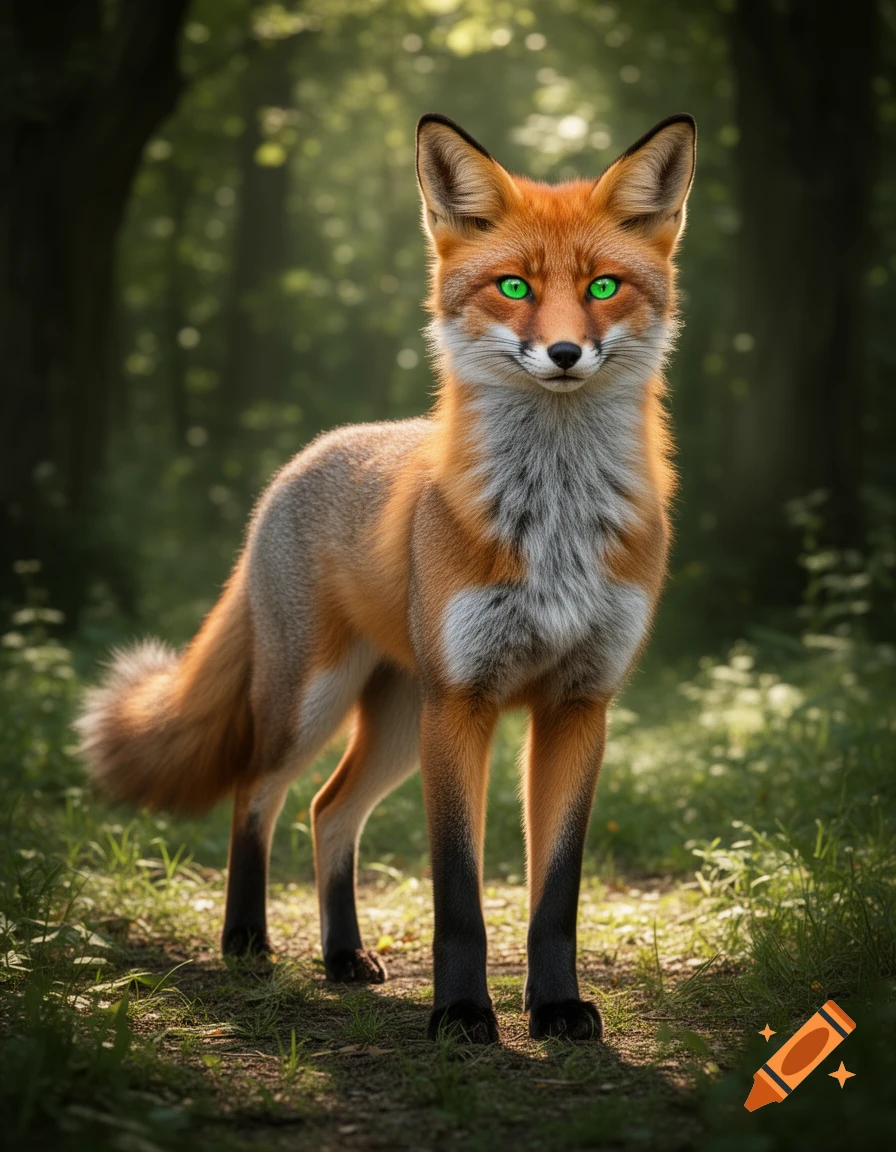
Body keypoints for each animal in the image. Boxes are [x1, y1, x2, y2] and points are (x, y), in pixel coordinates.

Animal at [77, 111, 696, 1044]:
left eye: (604, 287)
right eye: (512, 287)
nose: (563, 352)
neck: (552, 520)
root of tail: (305, 459)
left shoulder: (580, 704)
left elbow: (555, 896)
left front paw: (555, 1008)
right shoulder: (464, 702)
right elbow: (459, 896)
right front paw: (463, 1016)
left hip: (400, 724)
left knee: (329, 810)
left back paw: (341, 956)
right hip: (318, 703)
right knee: (257, 794)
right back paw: (247, 940)